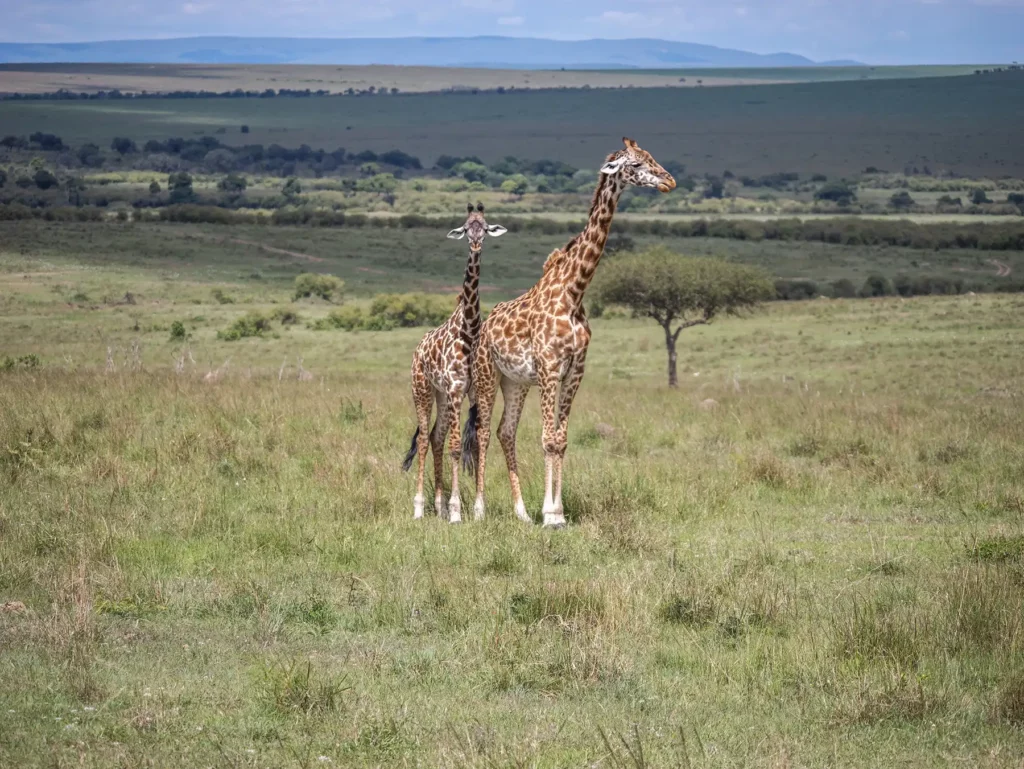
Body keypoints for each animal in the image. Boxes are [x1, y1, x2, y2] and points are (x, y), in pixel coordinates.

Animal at [402, 203, 507, 522]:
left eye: (484, 227)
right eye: (464, 228)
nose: (475, 245)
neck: (469, 331)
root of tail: (417, 351)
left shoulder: (474, 391)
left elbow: (477, 442)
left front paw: (475, 510)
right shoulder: (456, 389)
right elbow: (456, 447)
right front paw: (456, 511)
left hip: (441, 396)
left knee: (436, 437)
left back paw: (437, 506)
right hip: (423, 390)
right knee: (425, 440)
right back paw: (420, 507)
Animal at [465, 138, 675, 528]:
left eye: (651, 157)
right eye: (636, 164)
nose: (669, 180)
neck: (574, 291)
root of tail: (481, 329)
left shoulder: (576, 370)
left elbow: (561, 439)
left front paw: (556, 511)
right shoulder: (549, 368)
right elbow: (548, 438)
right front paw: (551, 515)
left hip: (515, 382)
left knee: (505, 432)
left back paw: (520, 513)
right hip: (487, 376)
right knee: (483, 433)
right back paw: (478, 510)